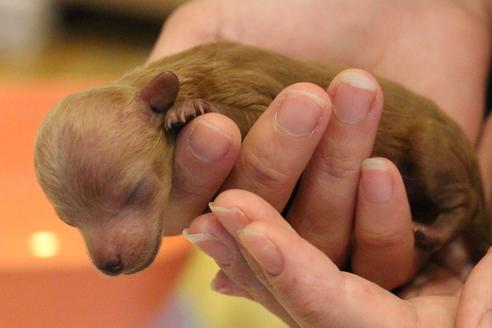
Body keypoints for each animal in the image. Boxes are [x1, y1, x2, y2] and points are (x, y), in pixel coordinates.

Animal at [33, 41, 488, 276]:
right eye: (68, 222)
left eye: (135, 192)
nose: (108, 265)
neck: (184, 74)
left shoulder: (250, 88)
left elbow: (250, 110)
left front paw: (189, 110)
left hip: (434, 147)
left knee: (458, 197)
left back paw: (438, 229)